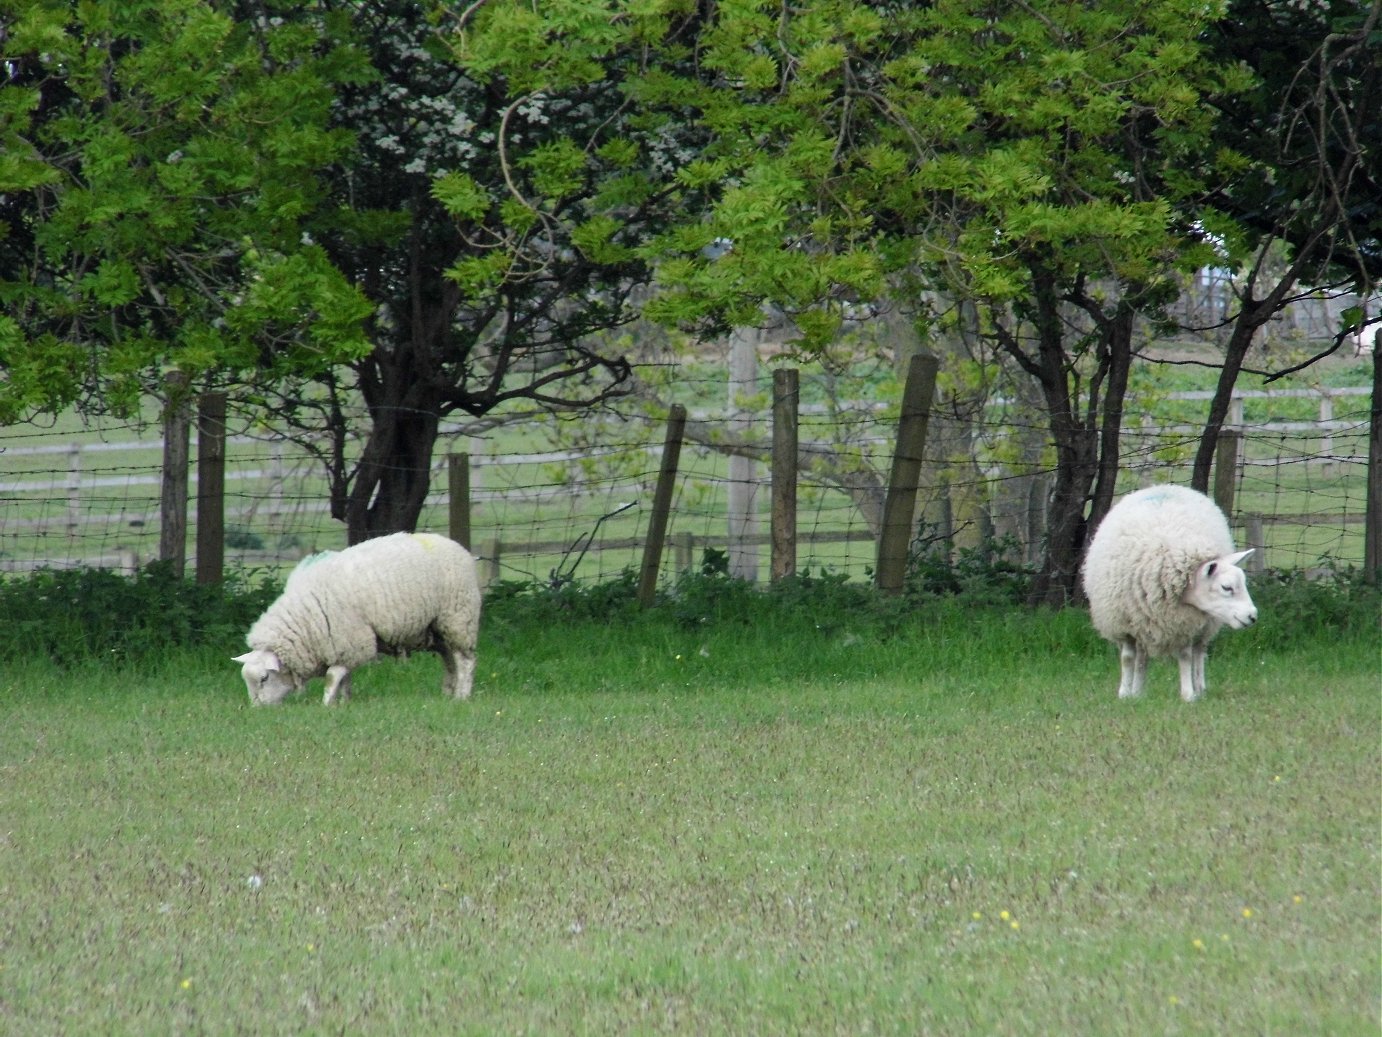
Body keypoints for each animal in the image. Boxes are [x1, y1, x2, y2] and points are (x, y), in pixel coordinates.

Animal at [232, 536, 480, 707]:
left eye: (264, 678)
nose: (257, 709)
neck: (305, 621)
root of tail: (460, 548)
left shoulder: (348, 639)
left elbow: (332, 677)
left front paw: (326, 704)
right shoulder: (342, 645)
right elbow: (345, 677)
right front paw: (344, 702)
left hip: (458, 617)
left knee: (465, 660)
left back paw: (462, 696)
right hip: (437, 629)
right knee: (449, 659)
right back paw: (448, 692)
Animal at [1083, 489, 1260, 707]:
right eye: (1226, 587)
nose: (1252, 616)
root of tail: (1166, 486)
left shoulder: (1183, 622)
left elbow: (1185, 656)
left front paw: (1189, 694)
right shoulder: (1125, 623)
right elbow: (1128, 658)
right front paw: (1124, 694)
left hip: (1204, 625)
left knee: (1199, 653)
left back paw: (1200, 688)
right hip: (1143, 623)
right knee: (1142, 658)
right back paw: (1137, 692)